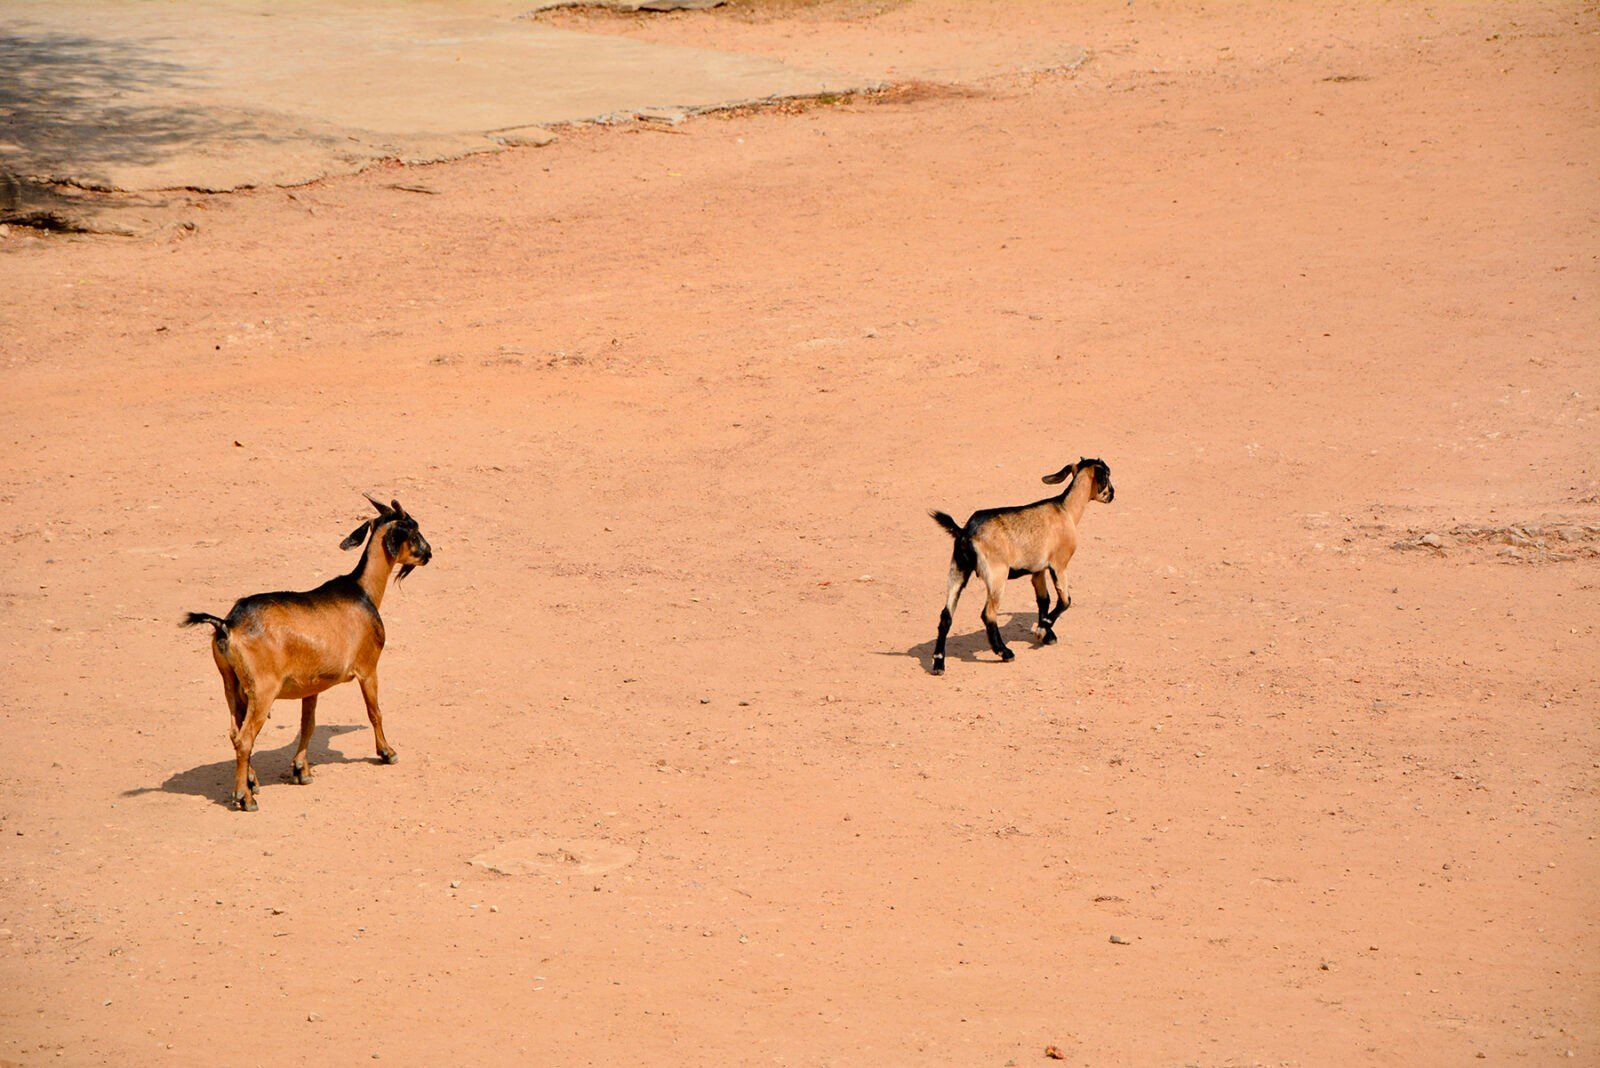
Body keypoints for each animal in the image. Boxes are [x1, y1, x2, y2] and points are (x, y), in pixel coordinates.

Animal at [181, 494, 433, 810]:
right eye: (413, 529)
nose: (429, 553)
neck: (362, 590)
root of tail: (227, 624)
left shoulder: (311, 685)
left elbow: (308, 724)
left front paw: (302, 770)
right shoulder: (368, 667)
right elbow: (375, 711)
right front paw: (387, 752)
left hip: (232, 685)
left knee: (234, 731)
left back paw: (252, 782)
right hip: (263, 690)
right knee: (245, 738)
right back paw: (244, 797)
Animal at [928, 458, 1114, 674]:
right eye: (1107, 475)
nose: (1112, 494)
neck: (1065, 509)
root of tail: (965, 531)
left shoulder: (1038, 571)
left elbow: (1044, 600)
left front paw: (1047, 634)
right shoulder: (1059, 564)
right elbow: (1065, 601)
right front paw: (1042, 630)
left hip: (957, 570)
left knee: (946, 615)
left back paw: (939, 662)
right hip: (996, 574)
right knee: (988, 613)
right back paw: (1004, 652)